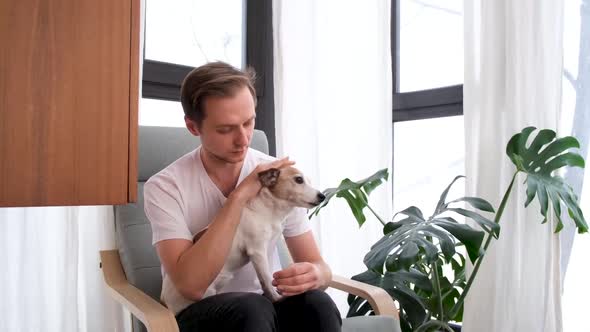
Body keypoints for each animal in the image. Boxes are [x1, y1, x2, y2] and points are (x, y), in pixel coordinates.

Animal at [162, 166, 326, 314]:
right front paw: (275, 297)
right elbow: (266, 279)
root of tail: (165, 301)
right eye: (298, 180)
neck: (268, 210)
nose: (322, 196)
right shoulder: (257, 252)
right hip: (207, 291)